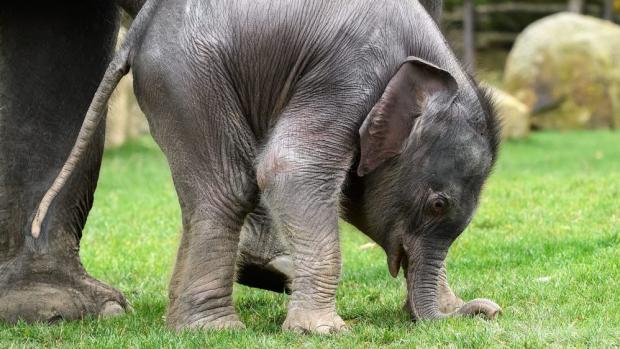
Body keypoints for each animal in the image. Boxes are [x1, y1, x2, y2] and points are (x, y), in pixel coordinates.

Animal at [31, 0, 502, 332]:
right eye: (437, 204)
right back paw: (215, 328)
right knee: (230, 188)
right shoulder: (346, 74)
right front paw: (323, 331)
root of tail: (138, 31)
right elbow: (290, 169)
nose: (485, 313)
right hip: (189, 76)